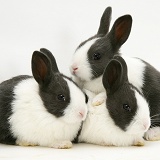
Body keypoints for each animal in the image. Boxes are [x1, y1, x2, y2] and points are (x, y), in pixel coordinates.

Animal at [69, 6, 160, 141]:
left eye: (97, 55)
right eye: (80, 45)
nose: (73, 68)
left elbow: (105, 93)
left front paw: (97, 100)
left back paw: (152, 133)